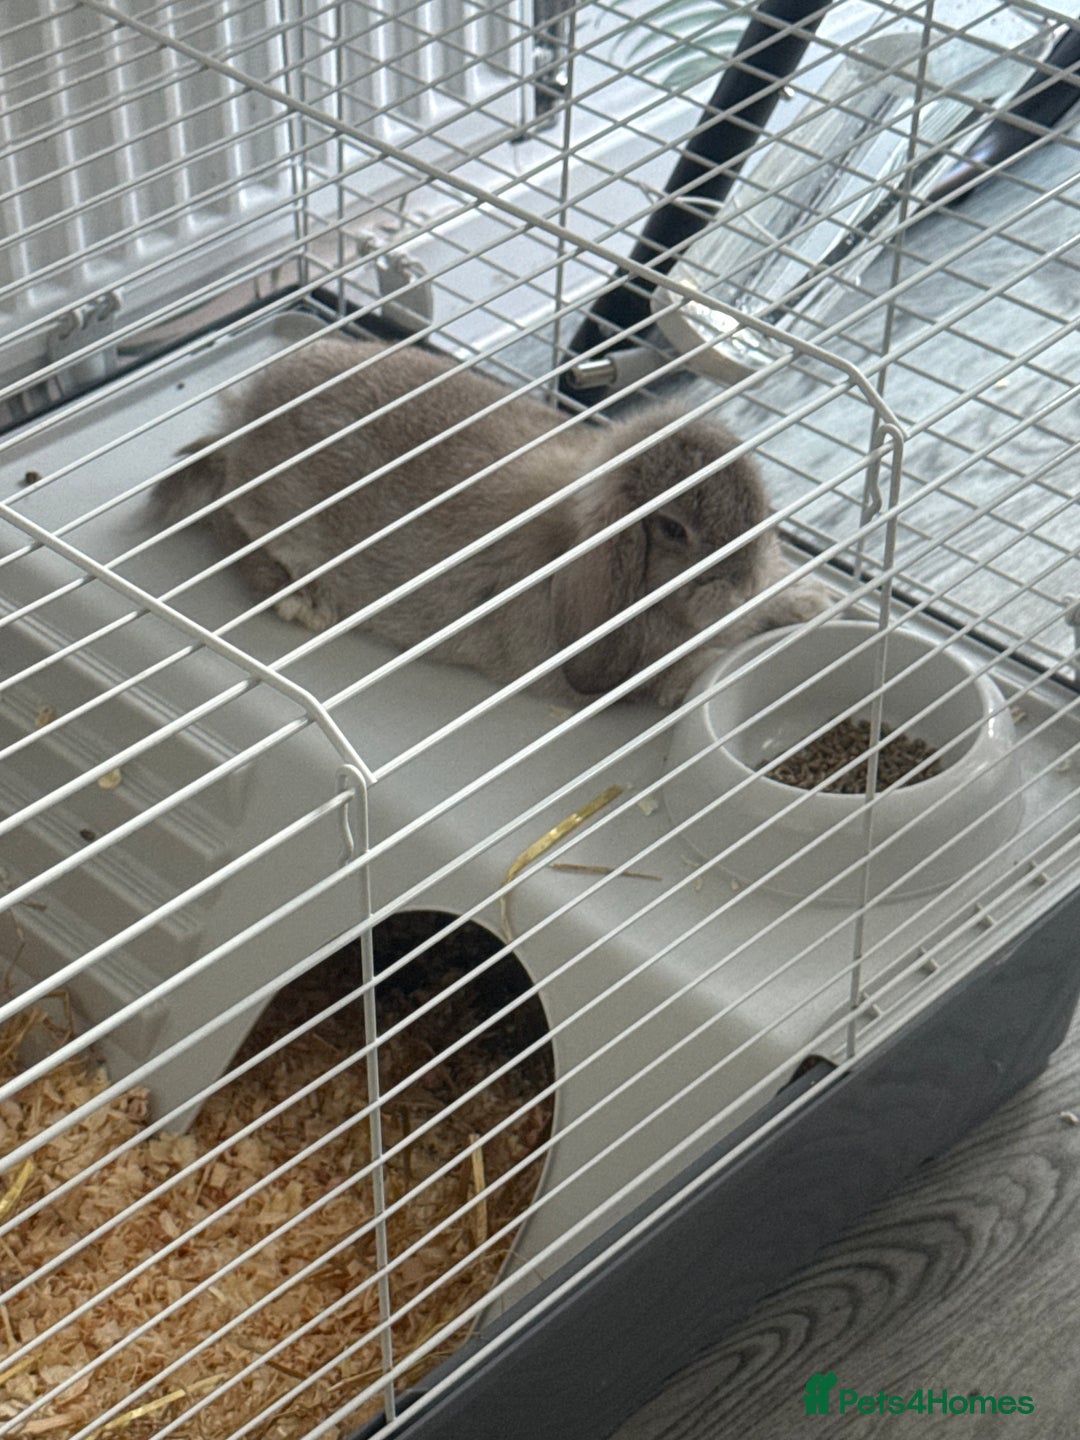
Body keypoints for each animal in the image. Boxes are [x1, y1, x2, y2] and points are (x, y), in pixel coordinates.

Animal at [152, 336, 830, 706]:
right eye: (673, 530)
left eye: (760, 506)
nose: (741, 582)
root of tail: (244, 420)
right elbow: (693, 668)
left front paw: (809, 602)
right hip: (275, 512)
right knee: (232, 529)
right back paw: (305, 599)